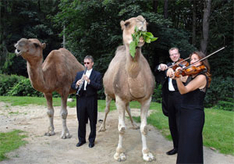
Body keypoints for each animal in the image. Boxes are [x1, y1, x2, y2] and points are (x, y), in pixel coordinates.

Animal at [99, 16, 154, 162]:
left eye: (146, 22)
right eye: (127, 24)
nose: (141, 28)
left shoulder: (147, 99)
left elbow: (144, 127)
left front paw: (146, 153)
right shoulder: (119, 99)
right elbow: (121, 128)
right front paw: (119, 153)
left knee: (128, 108)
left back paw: (134, 125)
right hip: (107, 93)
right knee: (106, 109)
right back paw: (102, 127)